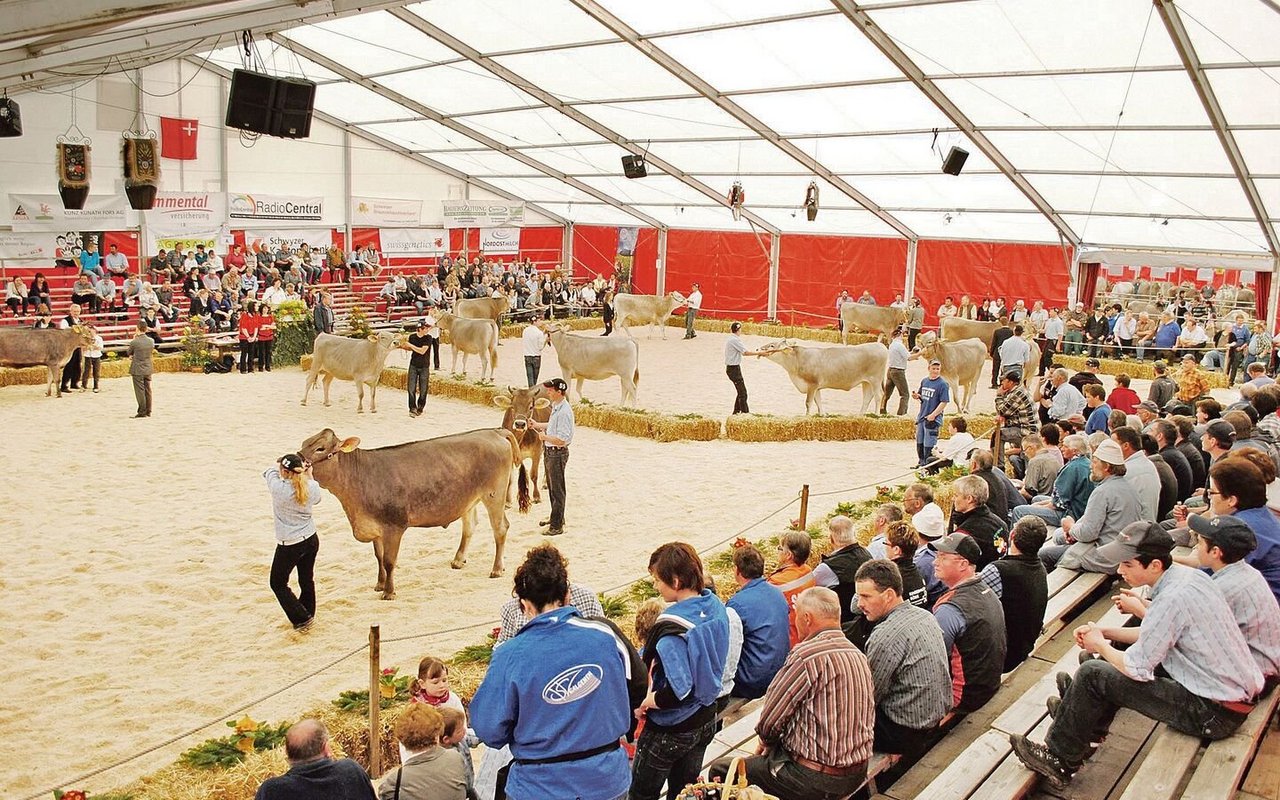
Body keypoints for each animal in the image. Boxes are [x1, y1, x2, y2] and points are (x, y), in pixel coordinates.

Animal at [300, 427, 529, 596]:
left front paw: (389, 592)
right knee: (470, 526)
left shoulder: (394, 527)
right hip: (469, 500)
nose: (294, 458)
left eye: (320, 448)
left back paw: (496, 568)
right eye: (304, 444)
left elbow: (389, 561)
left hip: (494, 494)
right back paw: (458, 560)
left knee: (500, 528)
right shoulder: (375, 527)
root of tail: (495, 431)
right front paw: (380, 584)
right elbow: (378, 557)